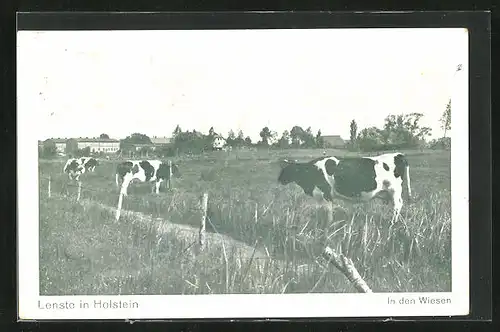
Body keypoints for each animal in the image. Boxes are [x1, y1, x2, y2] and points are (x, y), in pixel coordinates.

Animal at [276, 152, 412, 223]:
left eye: (287, 170)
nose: (279, 180)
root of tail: (398, 154)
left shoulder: (326, 193)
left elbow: (328, 211)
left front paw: (329, 225)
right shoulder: (319, 195)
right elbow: (320, 210)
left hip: (394, 190)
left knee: (398, 205)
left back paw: (392, 222)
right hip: (388, 192)